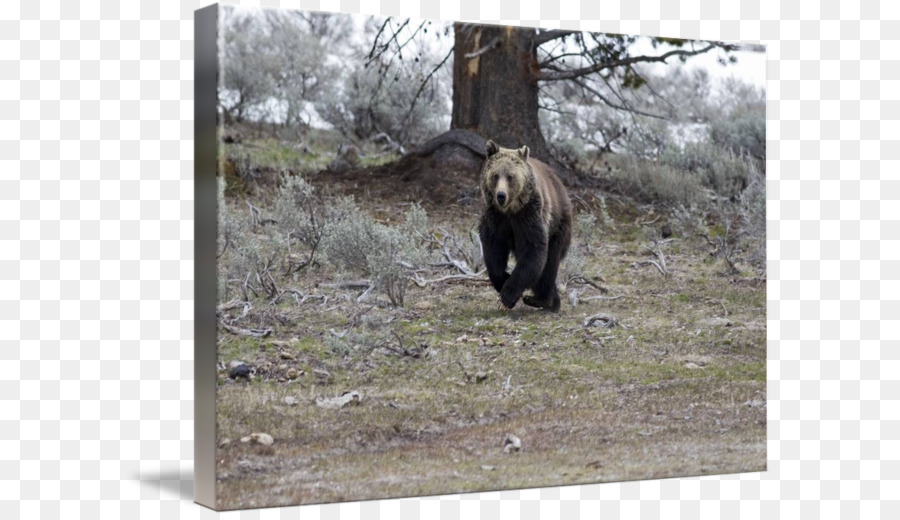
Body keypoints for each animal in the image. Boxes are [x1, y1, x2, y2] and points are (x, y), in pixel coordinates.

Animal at [474, 138, 572, 310]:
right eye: (495, 175)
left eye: (510, 176)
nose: (501, 195)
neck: (510, 210)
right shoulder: (496, 217)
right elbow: (493, 248)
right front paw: (504, 278)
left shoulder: (528, 215)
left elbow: (533, 249)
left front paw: (507, 297)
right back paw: (551, 299)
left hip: (559, 224)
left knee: (550, 263)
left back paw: (542, 299)